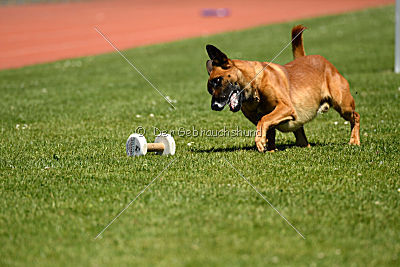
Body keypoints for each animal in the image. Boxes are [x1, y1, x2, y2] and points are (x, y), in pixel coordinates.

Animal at [206, 25, 360, 153]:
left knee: (356, 117)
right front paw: (269, 149)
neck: (255, 89)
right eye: (209, 90)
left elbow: (264, 120)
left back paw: (354, 141)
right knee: (303, 140)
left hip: (343, 106)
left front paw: (260, 142)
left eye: (218, 80)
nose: (214, 106)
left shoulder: (286, 107)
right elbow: (268, 129)